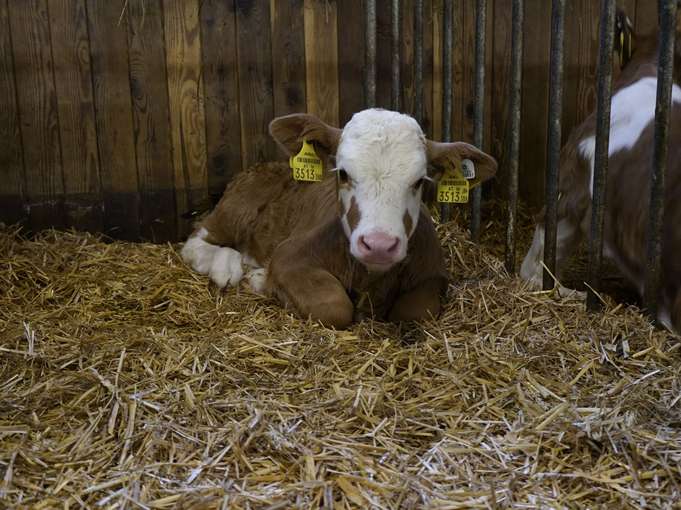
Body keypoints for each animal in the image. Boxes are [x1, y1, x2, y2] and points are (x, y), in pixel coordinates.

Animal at [183, 109, 496, 328]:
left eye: (419, 181)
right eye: (343, 173)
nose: (379, 245)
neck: (369, 277)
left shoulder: (432, 274)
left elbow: (416, 312)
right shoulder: (289, 255)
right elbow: (334, 307)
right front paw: (263, 281)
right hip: (237, 208)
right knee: (196, 240)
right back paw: (228, 267)